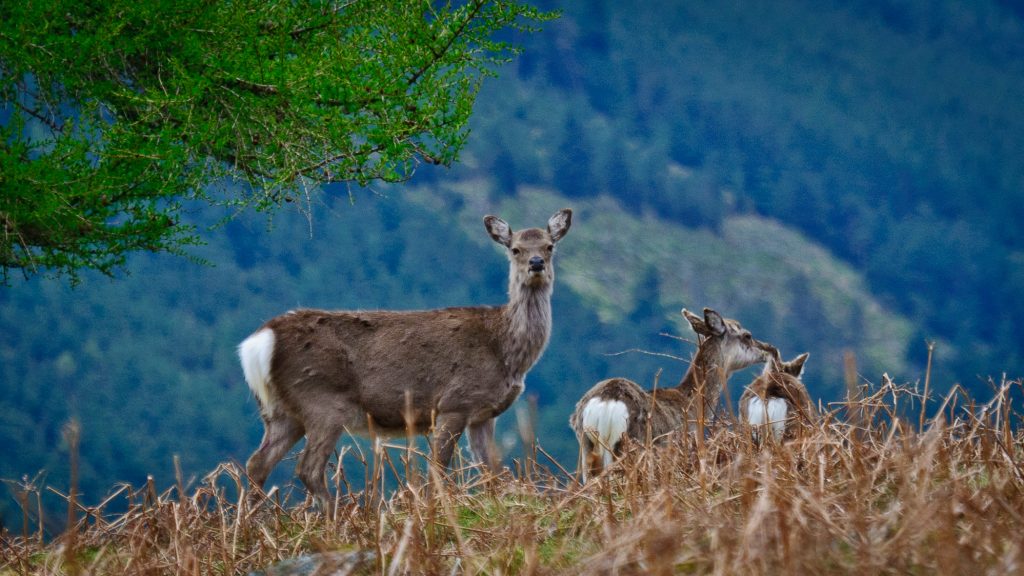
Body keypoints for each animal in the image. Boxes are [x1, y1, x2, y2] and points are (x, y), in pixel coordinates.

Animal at [240, 207, 577, 502]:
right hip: (322, 401)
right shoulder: (454, 403)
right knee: (307, 469)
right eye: (516, 249)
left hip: (281, 411)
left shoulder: (483, 415)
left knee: (257, 463)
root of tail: (260, 341)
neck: (506, 352)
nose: (536, 263)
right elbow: (437, 468)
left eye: (549, 246)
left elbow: (492, 471)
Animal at [569, 305, 770, 479]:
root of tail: (606, 401)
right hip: (628, 446)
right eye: (747, 335)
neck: (694, 406)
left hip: (586, 447)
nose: (767, 350)